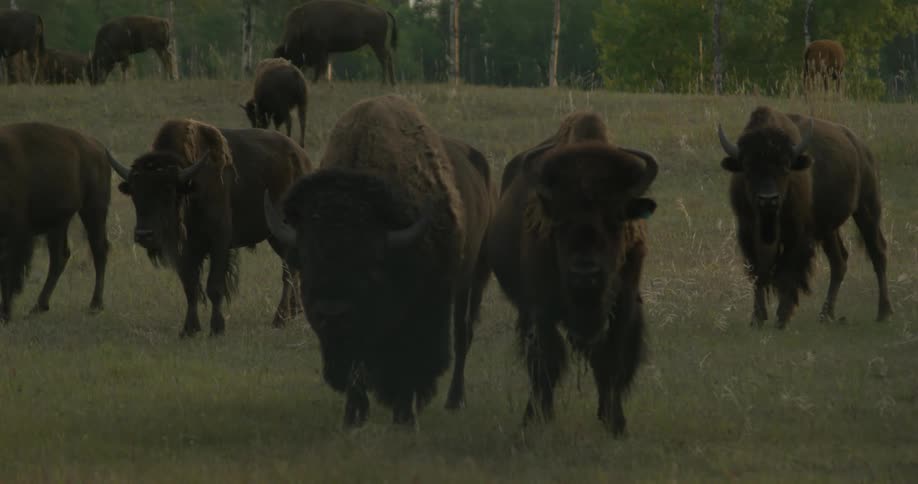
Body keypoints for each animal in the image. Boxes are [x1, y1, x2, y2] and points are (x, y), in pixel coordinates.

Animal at [0, 122, 111, 322]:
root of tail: (97, 146)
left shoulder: (15, 234)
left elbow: (8, 268)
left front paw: (5, 314)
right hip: (59, 223)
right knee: (60, 257)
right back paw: (38, 307)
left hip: (93, 209)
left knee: (99, 250)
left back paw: (94, 305)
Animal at [110, 119, 312, 337]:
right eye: (134, 192)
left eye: (168, 191)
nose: (144, 235)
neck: (190, 186)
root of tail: (301, 157)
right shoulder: (185, 250)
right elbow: (190, 287)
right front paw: (189, 329)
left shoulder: (219, 242)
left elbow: (214, 286)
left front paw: (217, 328)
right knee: (293, 268)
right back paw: (294, 312)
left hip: (280, 234)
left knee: (288, 273)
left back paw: (279, 320)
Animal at [264, 95, 492, 426]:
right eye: (307, 261)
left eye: (370, 265)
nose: (332, 312)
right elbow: (356, 369)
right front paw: (353, 417)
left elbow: (409, 361)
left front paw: (405, 417)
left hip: (472, 278)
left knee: (463, 334)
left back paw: (454, 400)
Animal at [487, 112, 658, 436]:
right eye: (560, 220)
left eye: (615, 219)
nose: (585, 272)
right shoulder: (540, 310)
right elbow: (546, 362)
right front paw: (536, 417)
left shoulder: (623, 305)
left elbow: (611, 360)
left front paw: (615, 422)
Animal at [717, 106, 892, 327]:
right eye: (747, 166)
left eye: (785, 165)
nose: (768, 199)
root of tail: (862, 148)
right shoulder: (747, 233)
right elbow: (758, 272)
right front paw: (757, 318)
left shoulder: (798, 235)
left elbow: (788, 272)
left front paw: (782, 317)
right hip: (828, 230)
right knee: (839, 261)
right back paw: (826, 315)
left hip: (866, 210)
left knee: (878, 253)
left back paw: (883, 312)